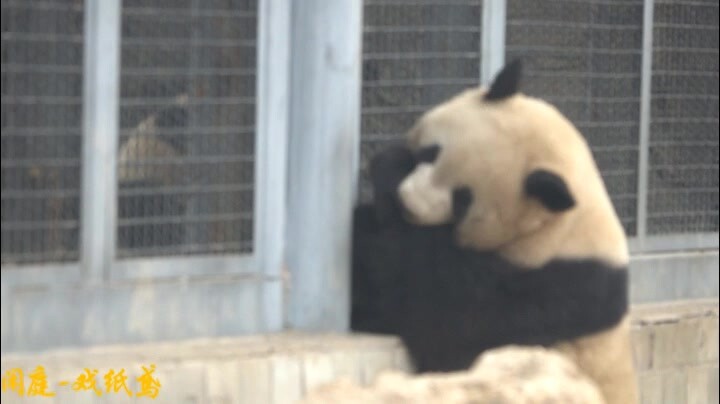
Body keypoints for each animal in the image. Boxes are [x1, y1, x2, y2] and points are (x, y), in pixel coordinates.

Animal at [352, 60, 640, 404]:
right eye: (431, 153)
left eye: (463, 200)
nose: (407, 201)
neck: (557, 228)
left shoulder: (563, 290)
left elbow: (447, 318)